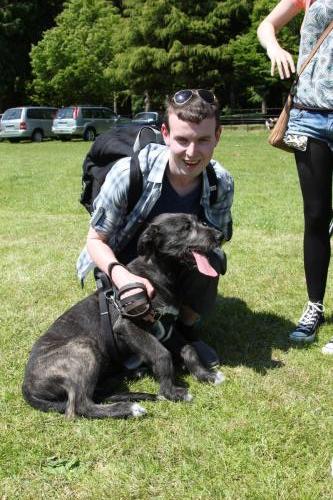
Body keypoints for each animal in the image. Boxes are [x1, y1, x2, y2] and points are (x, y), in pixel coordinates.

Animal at [22, 213, 223, 420]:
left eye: (200, 221)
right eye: (185, 228)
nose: (220, 236)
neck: (159, 273)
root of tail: (26, 386)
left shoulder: (167, 326)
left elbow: (189, 349)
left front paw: (205, 375)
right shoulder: (127, 326)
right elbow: (161, 354)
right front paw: (171, 392)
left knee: (98, 393)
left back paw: (134, 377)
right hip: (84, 349)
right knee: (79, 406)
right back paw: (128, 408)